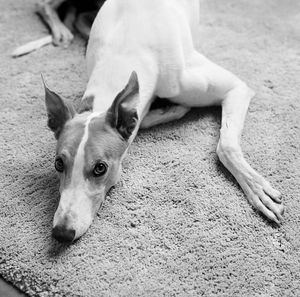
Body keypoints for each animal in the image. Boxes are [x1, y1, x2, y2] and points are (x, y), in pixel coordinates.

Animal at [42, 0, 284, 243]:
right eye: (58, 163)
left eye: (100, 168)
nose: (61, 233)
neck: (125, 49)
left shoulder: (235, 88)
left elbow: (225, 147)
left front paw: (256, 187)